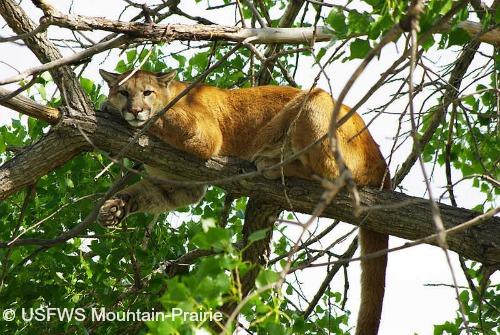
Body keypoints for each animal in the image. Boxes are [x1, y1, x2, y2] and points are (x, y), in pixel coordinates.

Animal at [98, 69, 390, 335]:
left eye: (147, 92)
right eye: (123, 92)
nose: (134, 110)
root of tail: (381, 161)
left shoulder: (203, 135)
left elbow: (160, 117)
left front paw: (113, 110)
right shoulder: (179, 184)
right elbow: (143, 194)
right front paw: (113, 209)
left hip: (314, 102)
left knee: (334, 174)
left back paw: (271, 162)